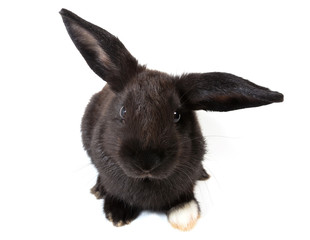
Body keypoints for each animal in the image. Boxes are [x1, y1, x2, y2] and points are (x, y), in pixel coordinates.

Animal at [58, 8, 284, 231]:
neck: (146, 181)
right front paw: (117, 214)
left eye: (176, 115)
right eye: (123, 111)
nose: (146, 162)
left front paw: (185, 216)